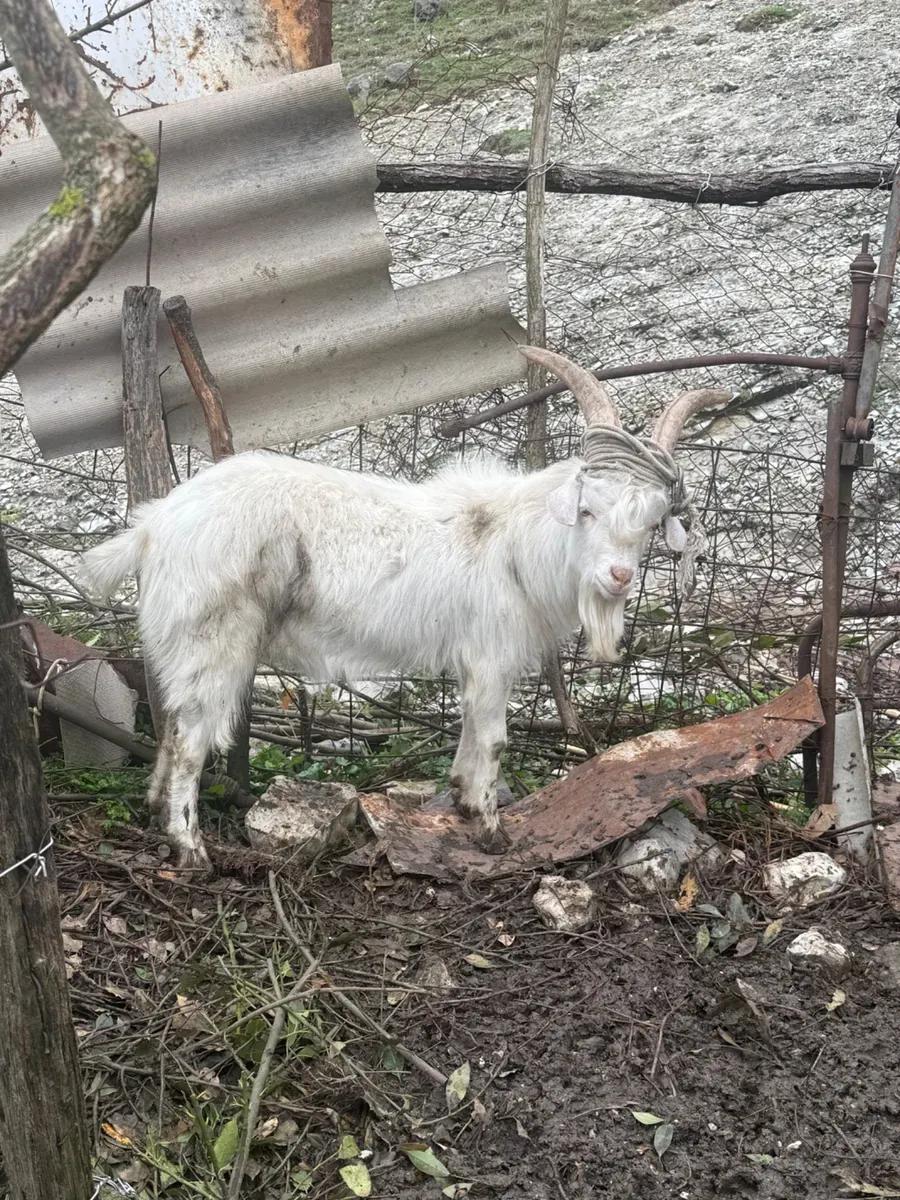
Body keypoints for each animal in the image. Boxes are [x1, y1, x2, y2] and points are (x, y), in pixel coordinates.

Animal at [81, 347, 730, 868]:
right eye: (588, 508)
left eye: (651, 524)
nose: (617, 577)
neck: (515, 540)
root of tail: (153, 527)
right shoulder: (491, 654)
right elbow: (494, 738)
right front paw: (491, 831)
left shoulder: (476, 660)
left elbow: (471, 729)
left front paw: (464, 802)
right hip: (215, 640)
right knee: (193, 738)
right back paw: (190, 847)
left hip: (183, 645)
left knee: (172, 723)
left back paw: (155, 813)